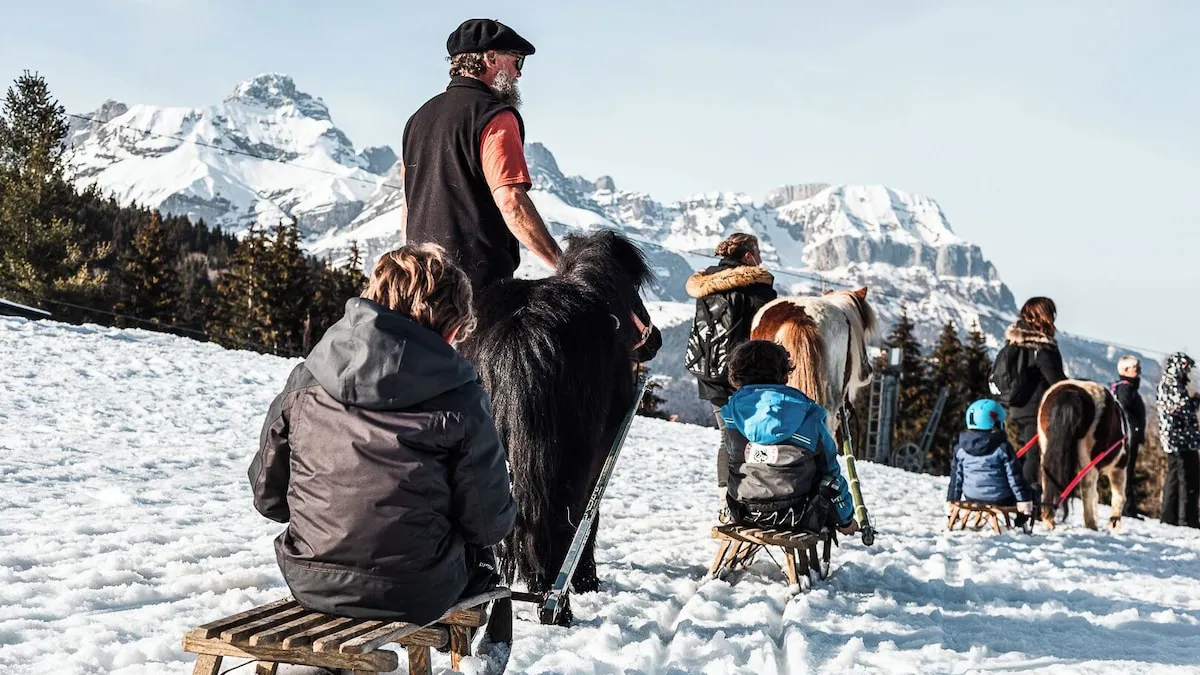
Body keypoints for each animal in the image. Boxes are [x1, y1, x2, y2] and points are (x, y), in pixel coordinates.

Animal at [458, 230, 660, 597]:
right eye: (635, 289)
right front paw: (587, 579)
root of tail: (524, 330)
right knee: (563, 516)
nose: (655, 339)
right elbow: (589, 516)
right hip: (576, 455)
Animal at [1037, 379, 1128, 531]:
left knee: (1047, 477)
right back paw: (1091, 525)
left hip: (1046, 448)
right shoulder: (1119, 466)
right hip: (1089, 461)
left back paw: (1048, 520)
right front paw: (1113, 523)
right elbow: (1118, 495)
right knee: (1087, 486)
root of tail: (1071, 392)